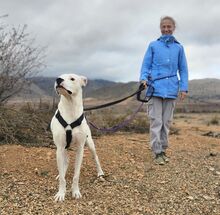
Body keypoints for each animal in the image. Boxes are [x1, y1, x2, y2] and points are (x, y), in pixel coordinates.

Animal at [50, 74, 104, 202]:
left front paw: (75, 192)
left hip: (90, 144)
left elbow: (76, 175)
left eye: (72, 79)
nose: (58, 80)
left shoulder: (80, 148)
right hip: (63, 149)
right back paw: (61, 173)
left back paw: (100, 172)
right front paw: (61, 193)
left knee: (96, 157)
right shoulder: (59, 148)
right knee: (65, 161)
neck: (70, 106)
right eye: (59, 77)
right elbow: (62, 178)